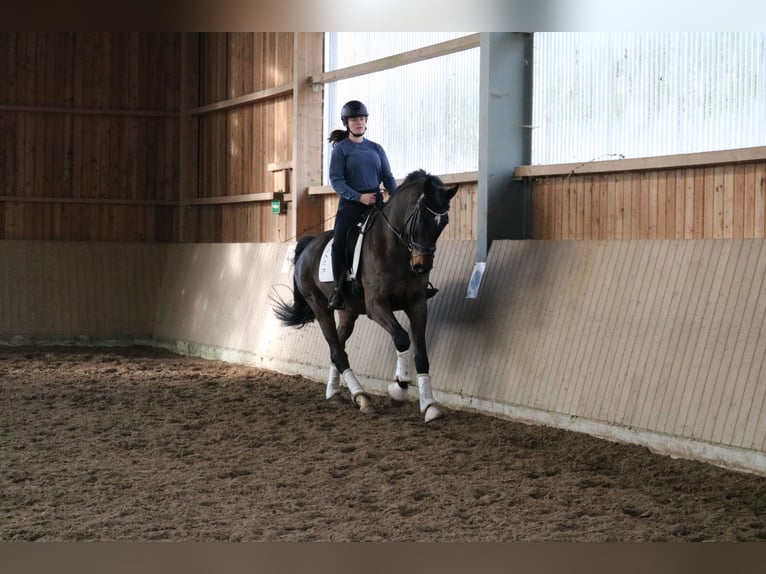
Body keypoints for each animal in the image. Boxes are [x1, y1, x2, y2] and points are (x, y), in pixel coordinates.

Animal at [272, 170, 460, 424]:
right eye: (421, 220)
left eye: (444, 223)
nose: (421, 266)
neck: (394, 248)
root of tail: (308, 244)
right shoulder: (376, 305)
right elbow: (402, 338)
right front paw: (398, 389)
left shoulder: (417, 304)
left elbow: (421, 354)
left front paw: (429, 405)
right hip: (319, 306)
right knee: (336, 350)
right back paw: (361, 397)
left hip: (348, 312)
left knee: (338, 348)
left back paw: (334, 393)